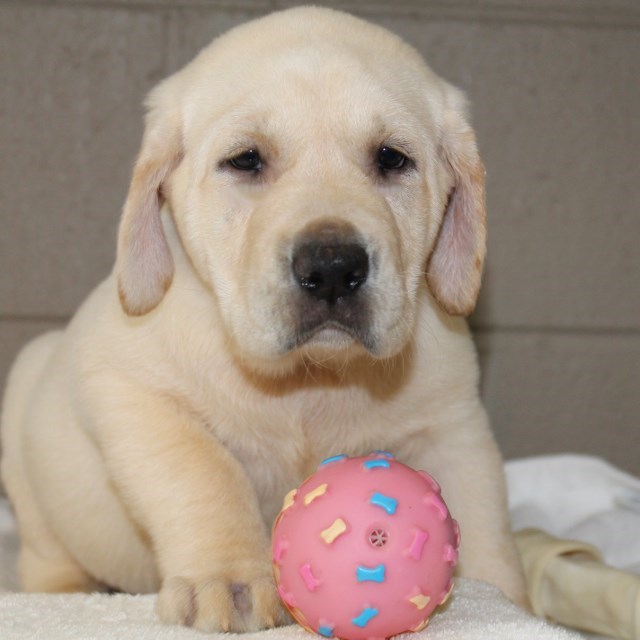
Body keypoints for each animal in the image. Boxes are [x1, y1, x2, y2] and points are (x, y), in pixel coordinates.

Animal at [2, 7, 528, 632]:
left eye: (392, 158)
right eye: (246, 160)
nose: (332, 267)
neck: (310, 380)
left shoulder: (452, 424)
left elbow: (483, 516)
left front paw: (507, 599)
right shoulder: (132, 393)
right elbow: (204, 472)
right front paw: (227, 578)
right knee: (46, 557)